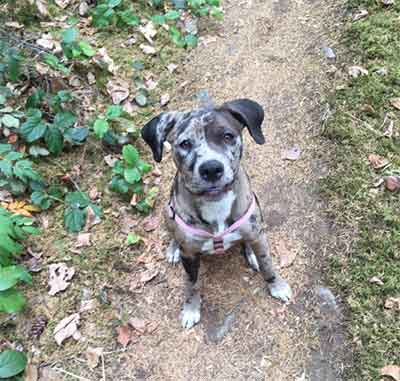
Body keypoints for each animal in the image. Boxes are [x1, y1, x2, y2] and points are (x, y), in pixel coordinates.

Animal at [142, 98, 292, 326]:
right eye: (185, 144)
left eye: (228, 136)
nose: (211, 169)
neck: (215, 202)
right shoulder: (189, 255)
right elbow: (191, 284)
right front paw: (191, 309)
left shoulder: (258, 234)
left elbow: (268, 264)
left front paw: (277, 286)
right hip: (167, 211)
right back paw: (173, 248)